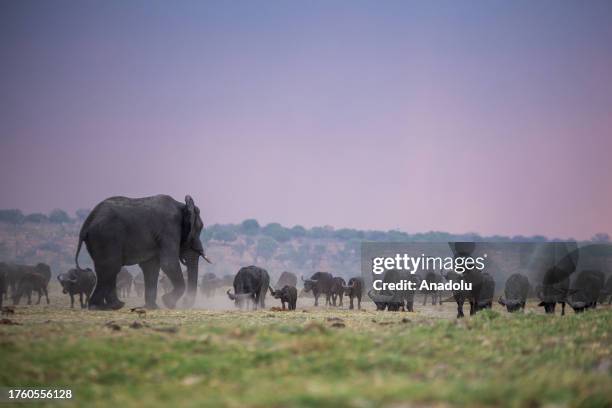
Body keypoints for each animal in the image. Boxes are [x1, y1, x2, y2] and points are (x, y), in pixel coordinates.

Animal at [74, 194, 210, 310]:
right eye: (199, 229)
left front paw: (153, 307)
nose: (185, 303)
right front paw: (168, 302)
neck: (182, 206)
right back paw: (100, 307)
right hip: (106, 237)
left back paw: (112, 306)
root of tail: (87, 223)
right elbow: (168, 263)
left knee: (107, 269)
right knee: (111, 267)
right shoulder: (169, 229)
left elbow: (151, 267)